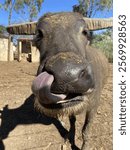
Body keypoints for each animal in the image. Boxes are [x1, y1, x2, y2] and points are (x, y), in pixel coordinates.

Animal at [6, 12, 111, 149]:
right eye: (39, 34)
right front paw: (69, 137)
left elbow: (86, 130)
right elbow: (72, 121)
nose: (66, 75)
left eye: (85, 32)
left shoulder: (93, 107)